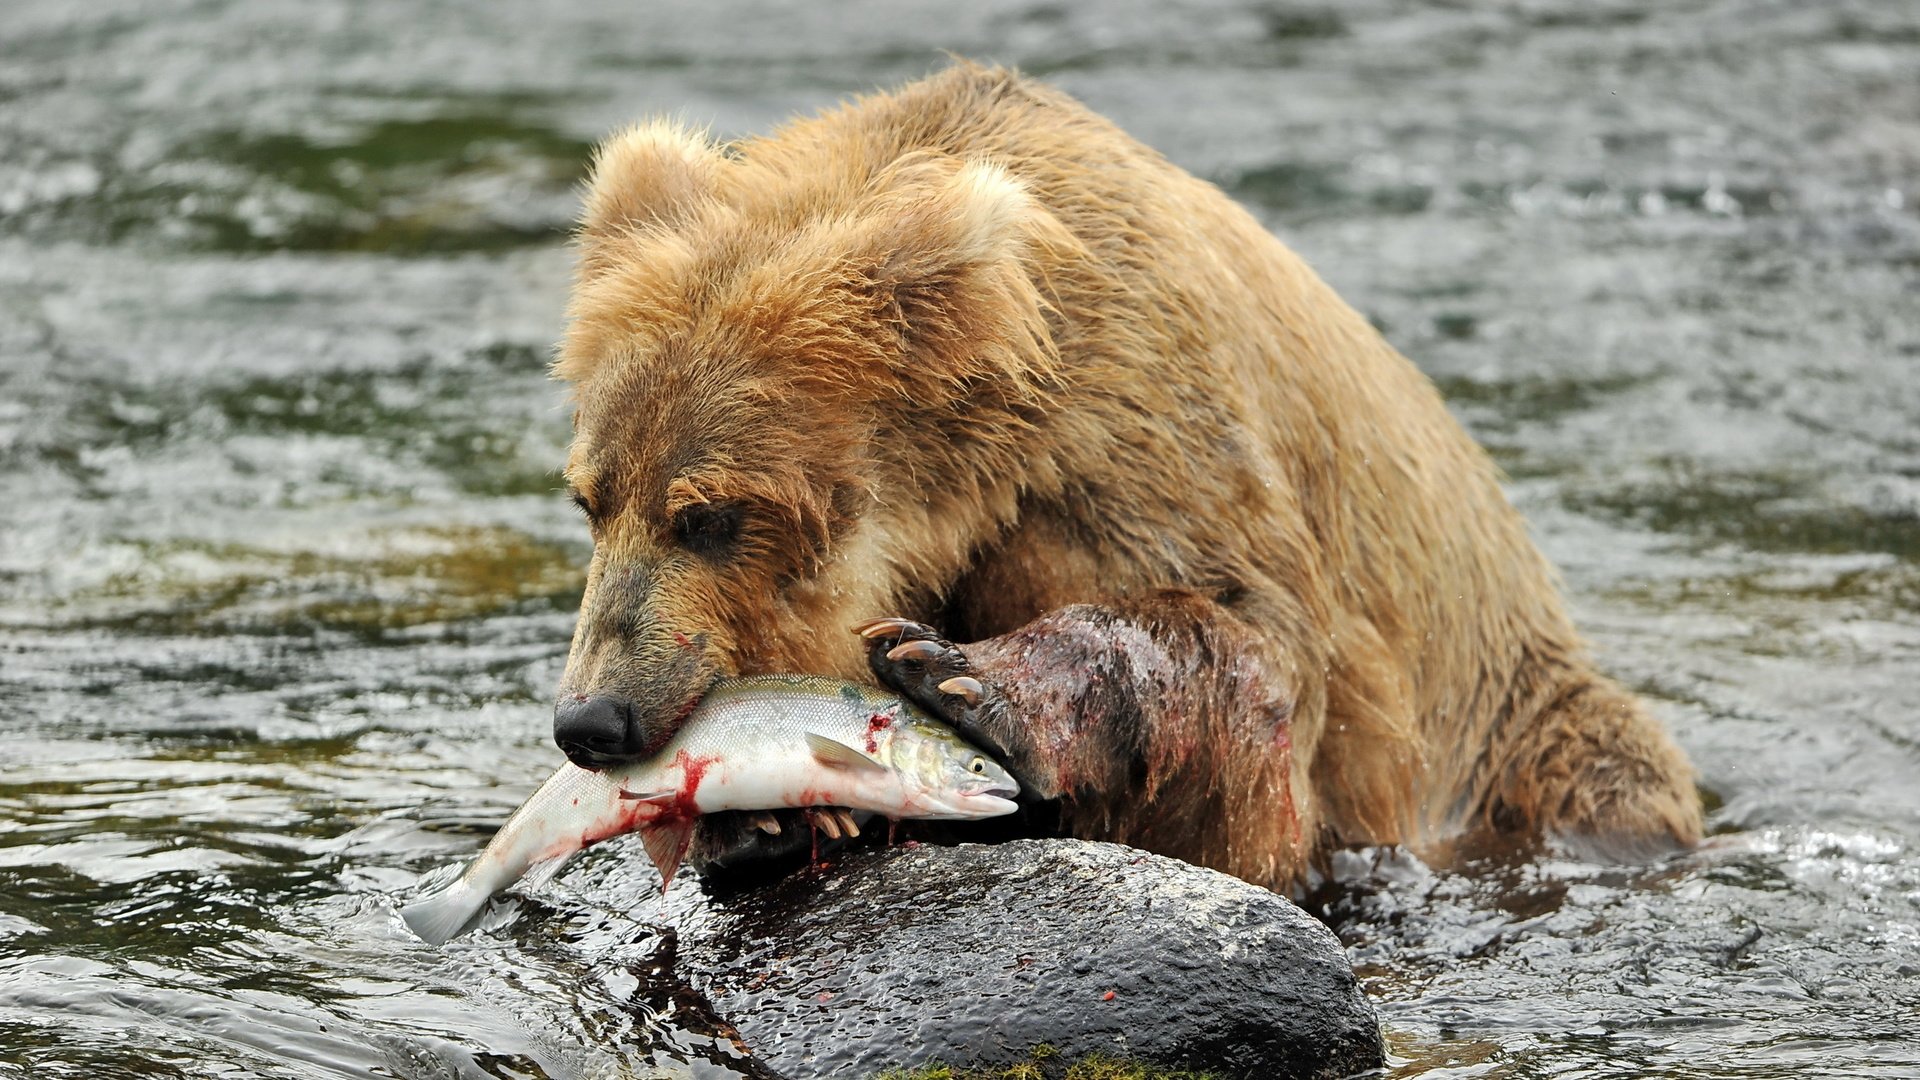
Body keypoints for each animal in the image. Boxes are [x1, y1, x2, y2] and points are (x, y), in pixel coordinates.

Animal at [549, 58, 1704, 887]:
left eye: (712, 513)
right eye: (592, 499)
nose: (593, 720)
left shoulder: (1142, 433)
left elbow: (1250, 653)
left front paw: (962, 675)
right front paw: (762, 818)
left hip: (1518, 724)